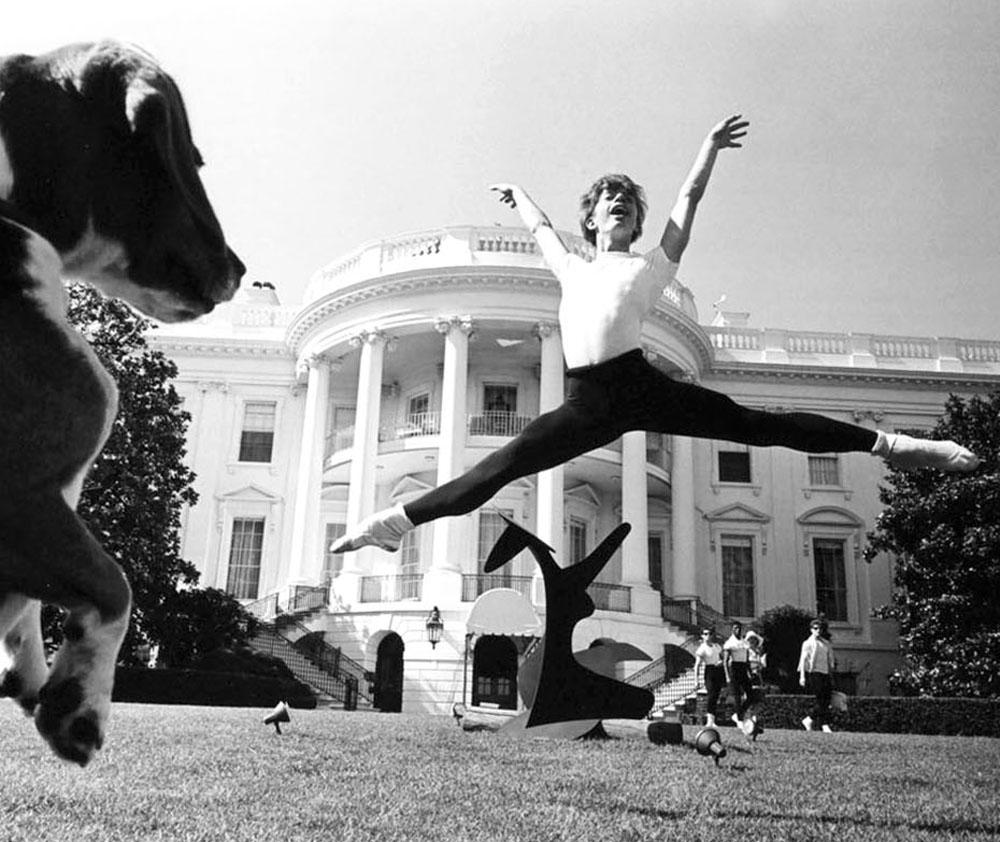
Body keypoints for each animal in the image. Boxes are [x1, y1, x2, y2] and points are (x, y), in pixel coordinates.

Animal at [0, 42, 242, 764]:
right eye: (191, 159)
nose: (240, 267)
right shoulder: (26, 493)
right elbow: (116, 584)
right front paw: (78, 704)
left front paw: (37, 676)